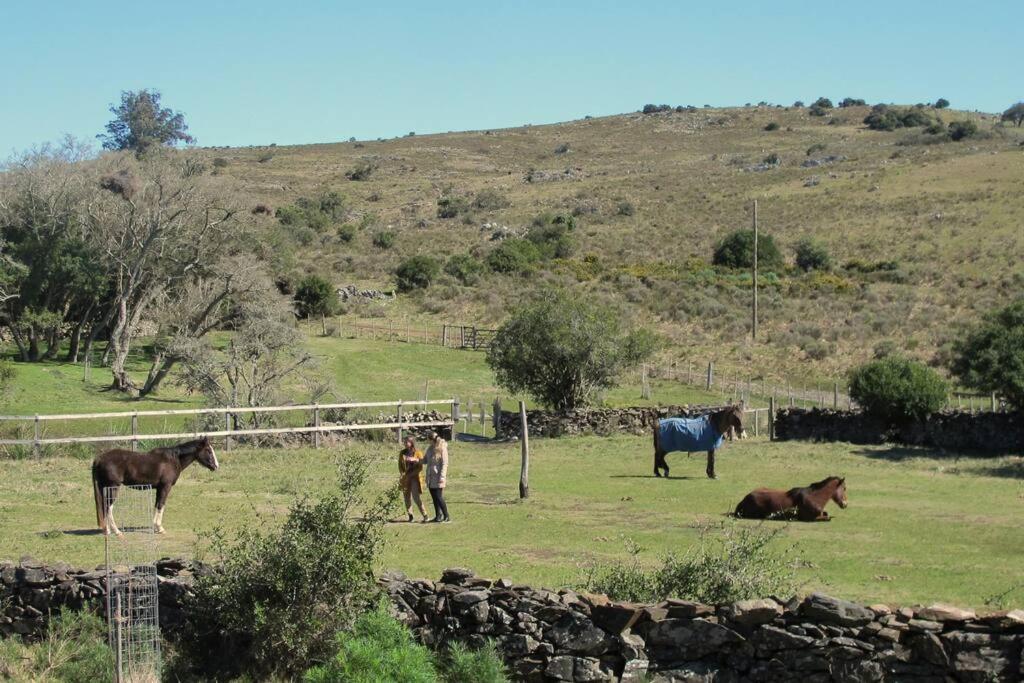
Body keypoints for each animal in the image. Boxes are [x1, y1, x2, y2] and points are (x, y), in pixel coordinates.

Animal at [92, 438, 220, 532]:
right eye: (208, 450)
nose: (216, 466)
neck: (173, 459)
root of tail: (99, 458)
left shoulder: (159, 488)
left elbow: (157, 504)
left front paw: (155, 526)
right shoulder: (165, 487)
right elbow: (161, 505)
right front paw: (160, 528)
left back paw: (107, 530)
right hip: (113, 487)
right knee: (108, 507)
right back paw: (116, 531)